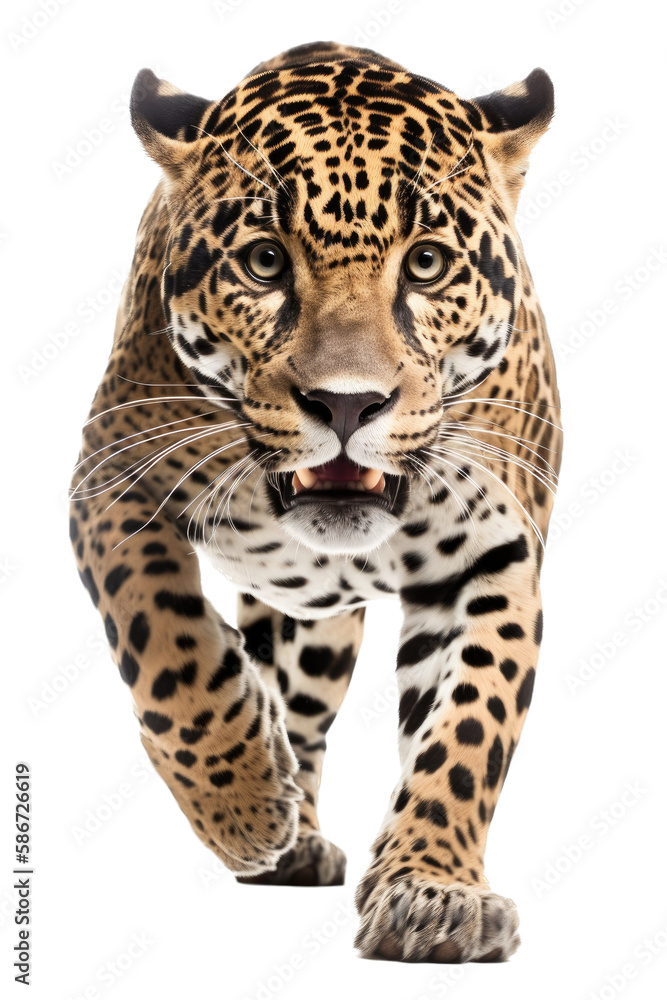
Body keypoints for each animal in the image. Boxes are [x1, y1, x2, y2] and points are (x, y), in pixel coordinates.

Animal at [69, 40, 562, 963]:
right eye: (264, 262)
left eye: (426, 264)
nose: (344, 404)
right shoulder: (108, 485)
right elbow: (166, 643)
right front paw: (241, 802)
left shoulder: (491, 555)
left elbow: (468, 725)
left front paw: (432, 891)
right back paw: (279, 819)